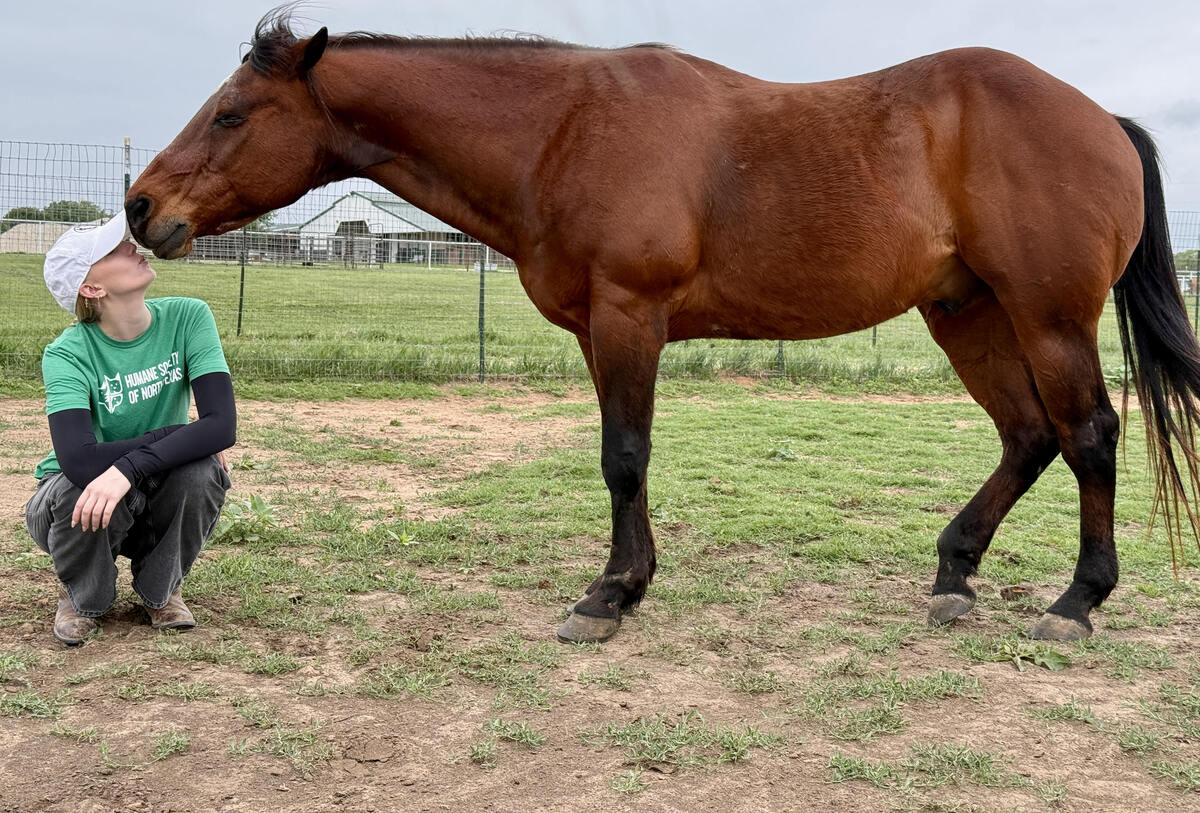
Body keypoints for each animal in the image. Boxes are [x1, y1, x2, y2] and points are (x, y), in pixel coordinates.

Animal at [126, 7, 1200, 644]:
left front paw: (607, 594)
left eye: (231, 114)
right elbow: (623, 456)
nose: (141, 207)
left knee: (1087, 434)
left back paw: (1075, 603)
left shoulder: (628, 318)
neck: (560, 131)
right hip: (966, 312)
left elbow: (624, 457)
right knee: (1026, 435)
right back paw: (953, 576)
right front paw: (631, 582)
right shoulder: (601, 332)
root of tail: (1101, 119)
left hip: (1048, 316)